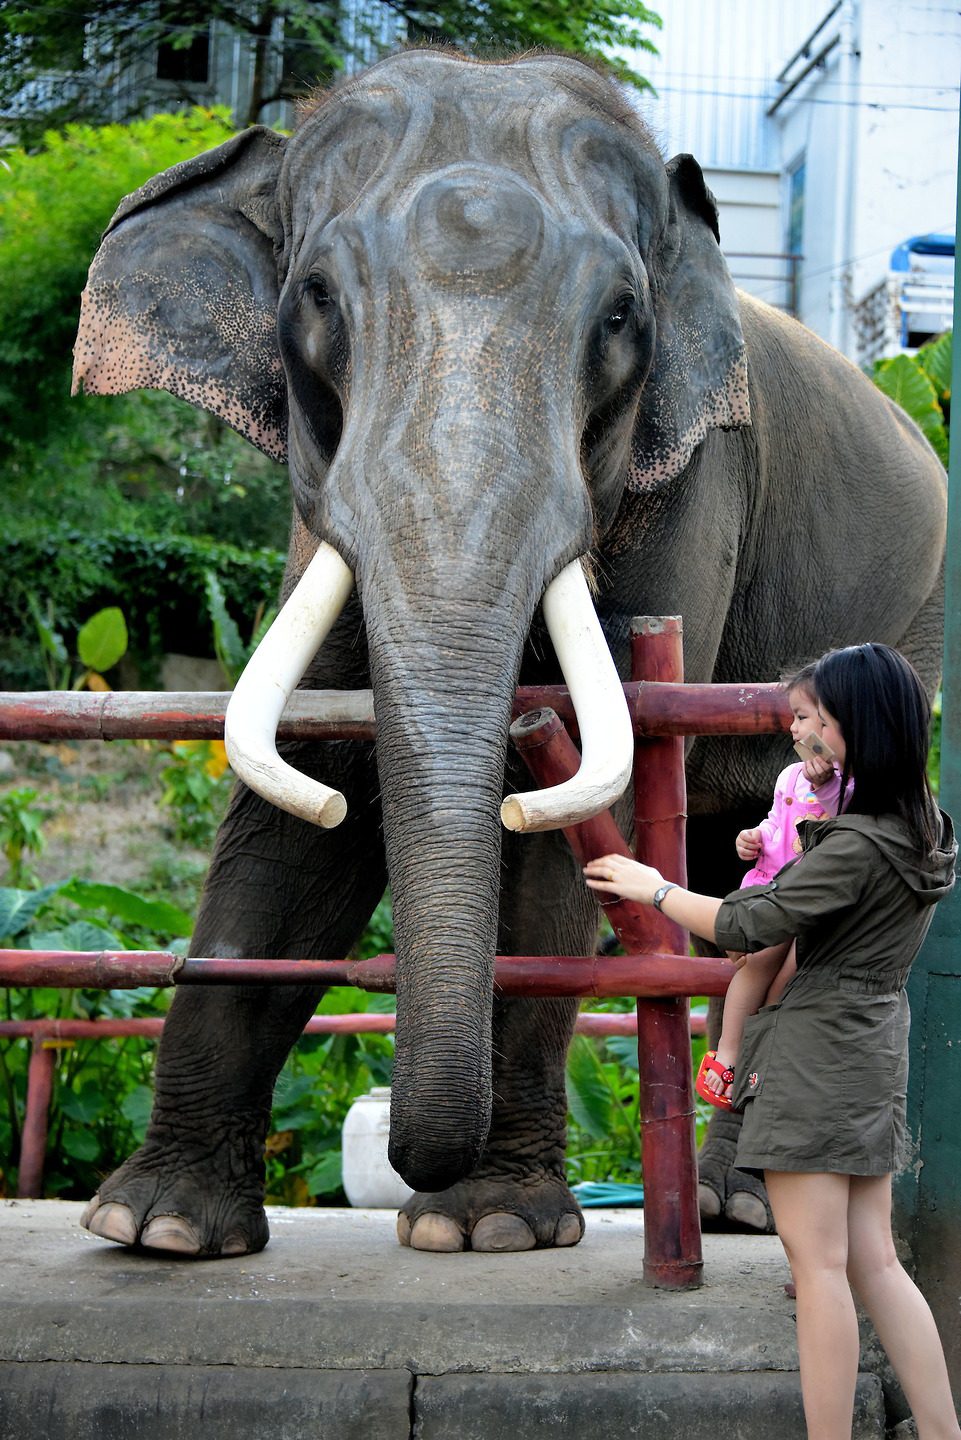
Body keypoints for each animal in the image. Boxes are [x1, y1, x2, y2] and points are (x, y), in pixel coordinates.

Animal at [72, 48, 946, 1258]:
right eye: (315, 298)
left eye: (620, 317)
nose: (410, 1162)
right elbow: (313, 795)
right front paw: (154, 1229)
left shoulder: (693, 487)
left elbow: (565, 805)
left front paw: (479, 1229)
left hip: (919, 622)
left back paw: (744, 1206)